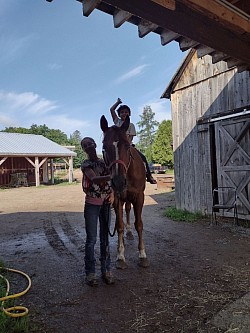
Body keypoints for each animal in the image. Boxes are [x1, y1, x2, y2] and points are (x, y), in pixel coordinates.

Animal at [100, 115, 149, 268]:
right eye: (104, 147)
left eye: (127, 146)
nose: (118, 182)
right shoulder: (117, 198)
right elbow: (119, 225)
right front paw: (120, 255)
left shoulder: (139, 197)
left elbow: (139, 224)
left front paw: (142, 254)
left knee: (128, 210)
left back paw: (129, 233)